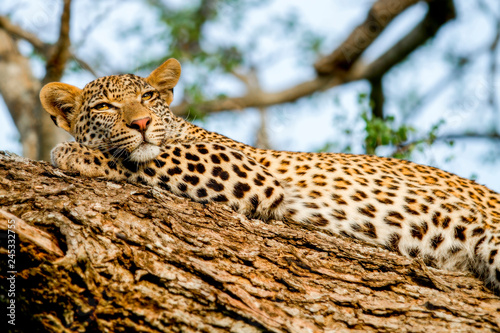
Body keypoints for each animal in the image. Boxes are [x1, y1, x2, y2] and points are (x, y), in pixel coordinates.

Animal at [40, 59, 500, 290]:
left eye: (149, 97)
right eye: (105, 107)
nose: (140, 123)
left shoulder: (240, 168)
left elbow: (148, 158)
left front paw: (74, 152)